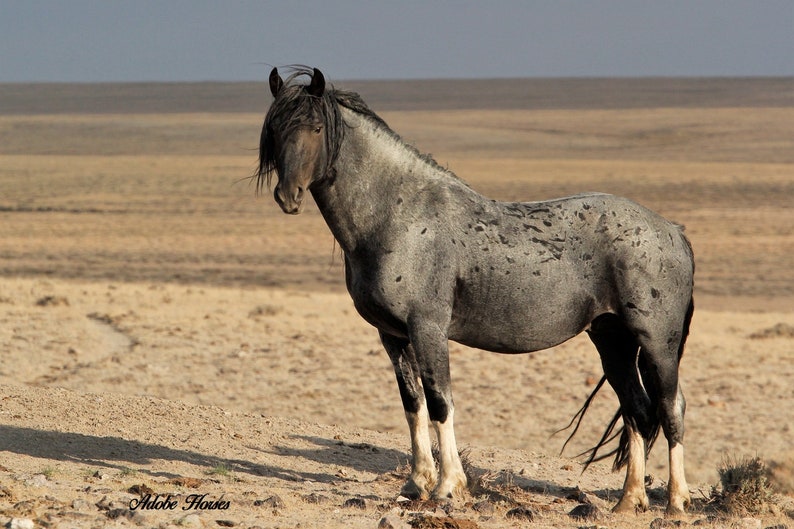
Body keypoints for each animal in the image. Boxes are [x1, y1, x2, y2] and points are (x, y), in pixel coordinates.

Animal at [258, 67, 695, 515]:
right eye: (274, 128)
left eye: (315, 127)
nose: (287, 196)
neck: (398, 216)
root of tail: (672, 231)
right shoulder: (392, 336)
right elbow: (412, 404)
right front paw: (415, 484)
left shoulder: (428, 329)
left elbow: (439, 401)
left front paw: (447, 487)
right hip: (613, 340)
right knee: (637, 411)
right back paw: (629, 500)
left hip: (656, 343)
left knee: (670, 408)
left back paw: (676, 502)